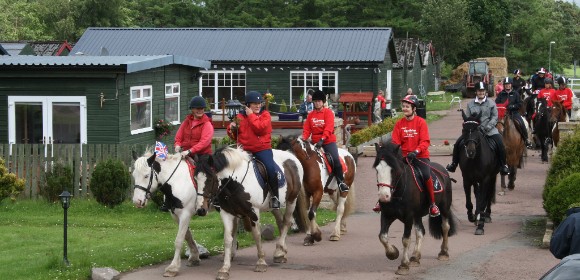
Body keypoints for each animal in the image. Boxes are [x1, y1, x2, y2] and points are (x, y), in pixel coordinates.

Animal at [374, 143, 456, 274]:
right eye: (377, 169)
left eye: (393, 170)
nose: (383, 196)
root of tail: (443, 172)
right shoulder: (387, 215)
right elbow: (382, 236)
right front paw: (393, 253)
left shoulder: (408, 217)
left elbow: (406, 239)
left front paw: (403, 265)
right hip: (417, 215)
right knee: (420, 232)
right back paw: (415, 257)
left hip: (444, 208)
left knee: (445, 227)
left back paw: (443, 253)